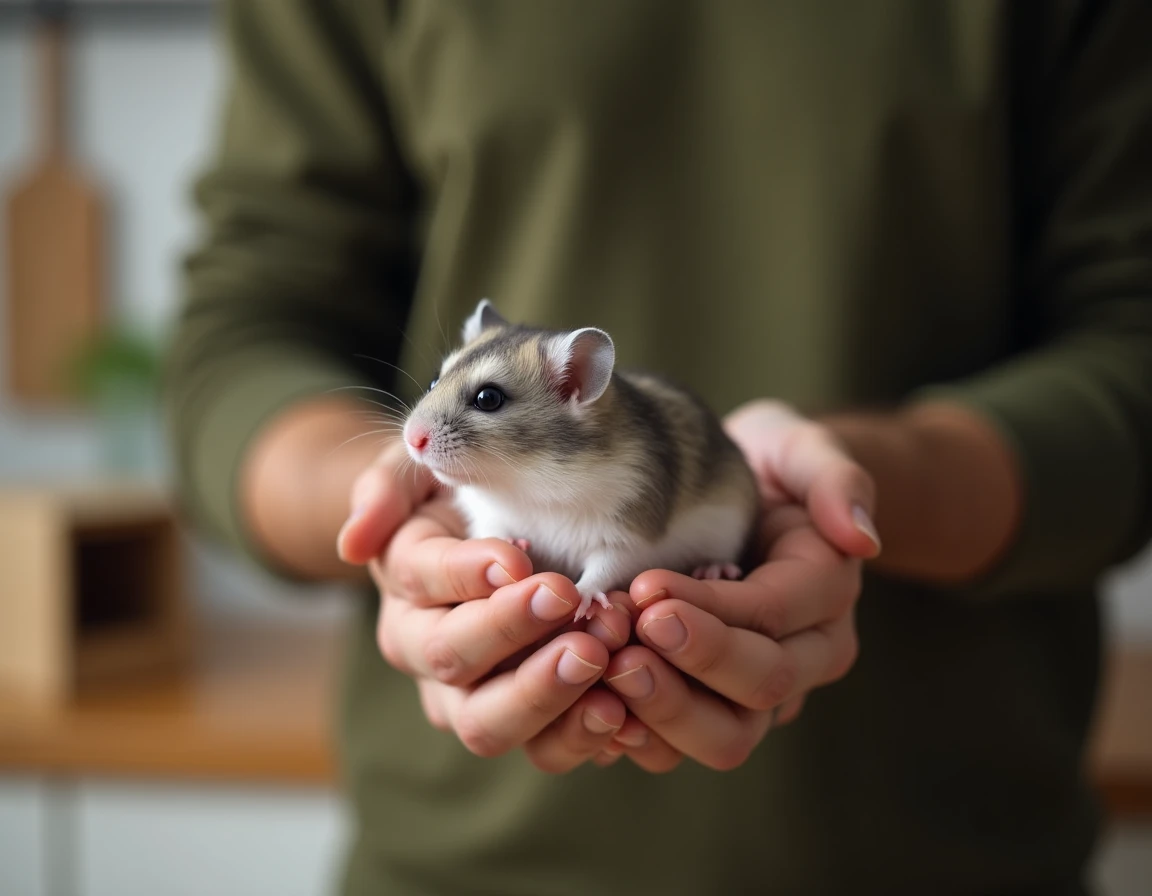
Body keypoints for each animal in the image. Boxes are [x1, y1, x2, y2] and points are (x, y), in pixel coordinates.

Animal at [402, 299, 761, 620]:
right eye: (434, 381)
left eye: (488, 398)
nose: (411, 439)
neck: (526, 478)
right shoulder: (486, 513)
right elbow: (491, 530)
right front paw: (513, 544)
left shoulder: (631, 534)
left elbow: (605, 566)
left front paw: (582, 598)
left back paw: (713, 568)